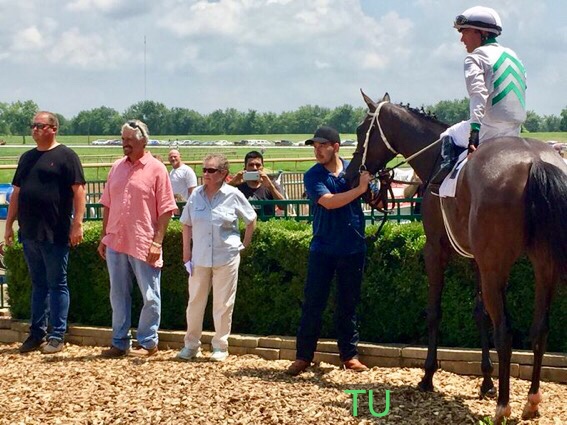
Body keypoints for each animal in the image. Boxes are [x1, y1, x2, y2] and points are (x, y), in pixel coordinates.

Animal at [346, 91, 567, 422]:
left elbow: (434, 312)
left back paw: (504, 406)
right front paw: (486, 381)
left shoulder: (434, 249)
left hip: (497, 268)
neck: (435, 158)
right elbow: (479, 313)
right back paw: (531, 401)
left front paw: (427, 376)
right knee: (540, 328)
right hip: (543, 265)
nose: (350, 176)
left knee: (506, 331)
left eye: (361, 131)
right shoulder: (478, 259)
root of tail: (535, 161)